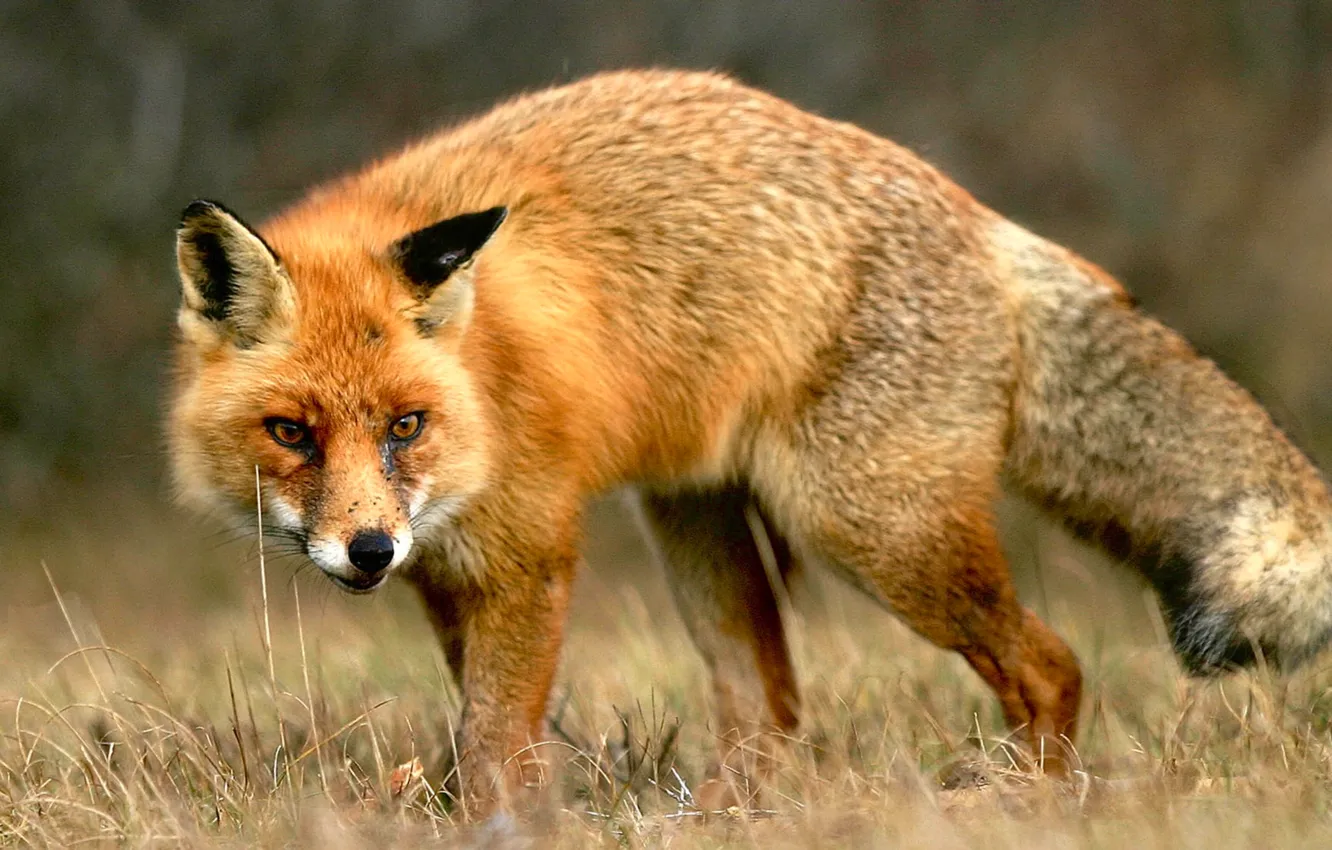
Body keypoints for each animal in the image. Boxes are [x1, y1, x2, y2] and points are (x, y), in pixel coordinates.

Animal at [170, 69, 1332, 815]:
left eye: (404, 425)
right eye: (292, 432)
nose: (367, 551)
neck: (484, 379)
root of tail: (979, 217)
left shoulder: (526, 555)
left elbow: (498, 737)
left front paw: (500, 821)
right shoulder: (447, 573)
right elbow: (486, 725)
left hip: (878, 536)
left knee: (1055, 666)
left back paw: (1028, 799)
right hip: (698, 526)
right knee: (770, 706)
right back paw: (724, 810)